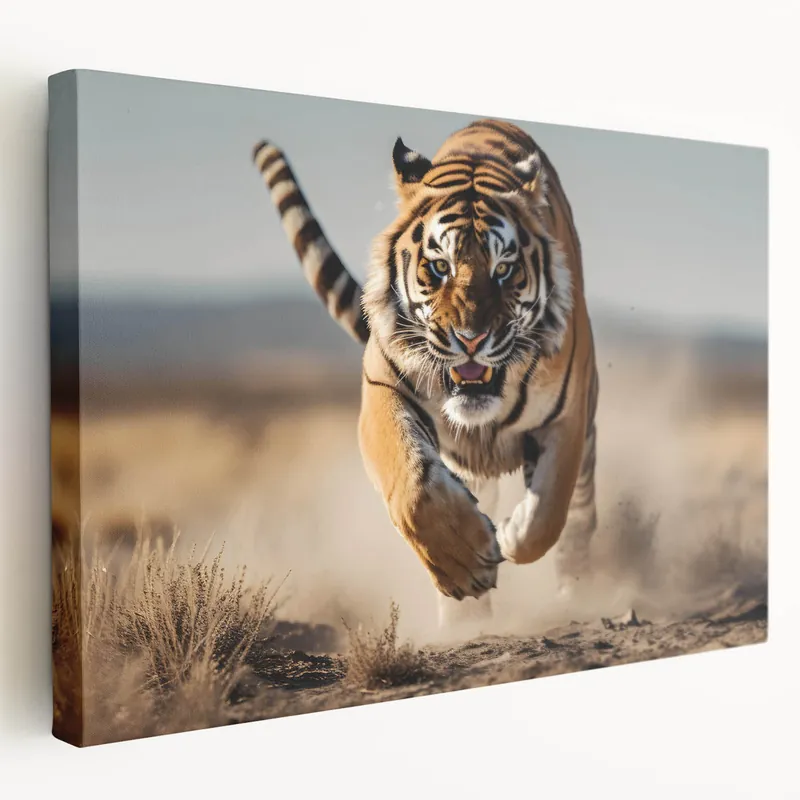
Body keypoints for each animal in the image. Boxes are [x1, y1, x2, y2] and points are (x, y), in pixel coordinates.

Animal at [253, 118, 599, 626]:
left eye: (504, 269)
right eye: (439, 267)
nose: (471, 338)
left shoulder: (567, 415)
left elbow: (548, 511)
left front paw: (510, 534)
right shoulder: (383, 391)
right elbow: (415, 488)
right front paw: (465, 563)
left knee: (579, 512)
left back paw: (581, 593)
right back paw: (464, 624)